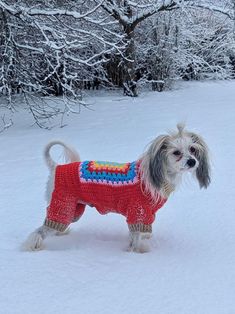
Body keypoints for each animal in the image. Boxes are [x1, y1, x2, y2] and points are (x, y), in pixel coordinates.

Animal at [24, 124, 211, 253]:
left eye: (192, 149)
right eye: (176, 152)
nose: (192, 161)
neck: (157, 176)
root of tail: (56, 167)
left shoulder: (147, 214)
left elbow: (139, 232)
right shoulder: (138, 210)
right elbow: (136, 237)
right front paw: (139, 251)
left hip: (74, 208)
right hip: (63, 204)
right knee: (40, 230)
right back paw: (32, 245)